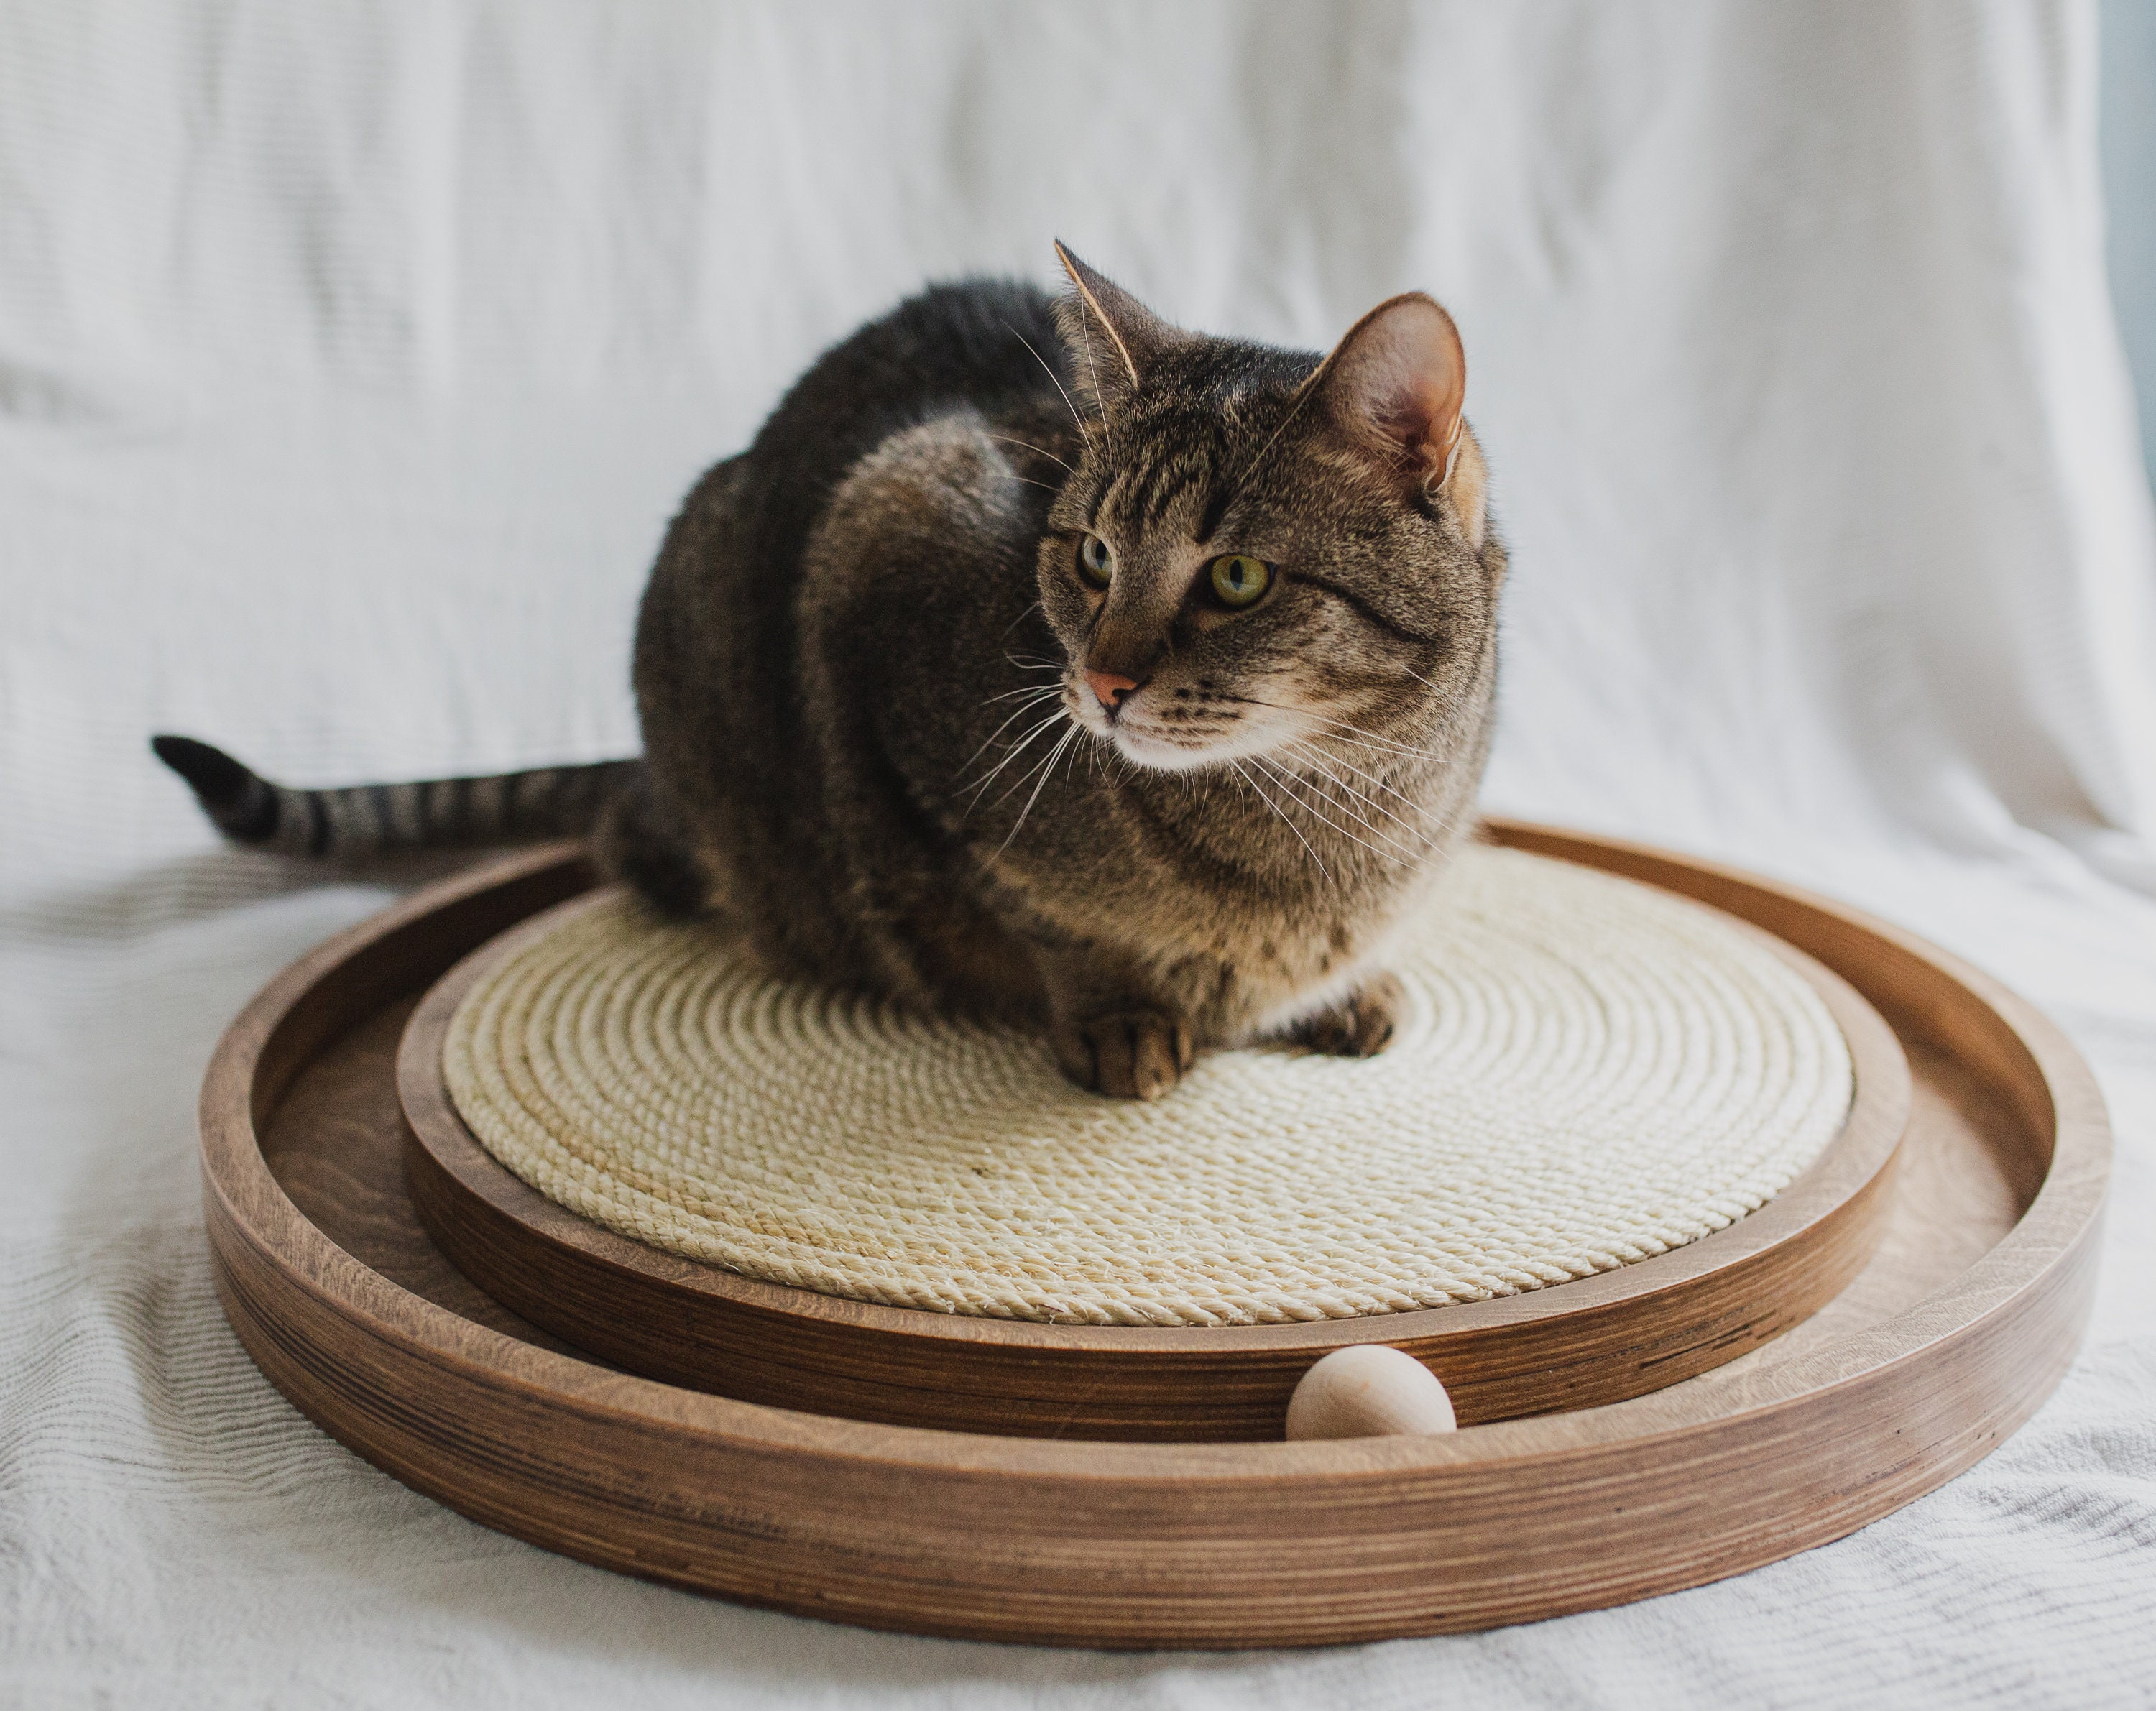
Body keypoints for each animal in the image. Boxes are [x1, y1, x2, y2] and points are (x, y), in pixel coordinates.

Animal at [156, 243, 1501, 1094]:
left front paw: (1344, 988)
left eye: (1236, 580)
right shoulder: (884, 544)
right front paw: (1121, 1013)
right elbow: (1037, 917)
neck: (1338, 819)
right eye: (1092, 555)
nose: (1103, 685)